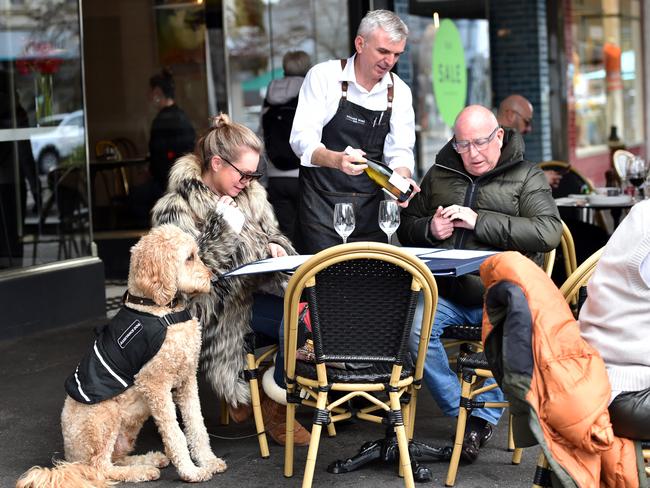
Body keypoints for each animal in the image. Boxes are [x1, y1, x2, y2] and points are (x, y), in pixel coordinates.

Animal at [17, 225, 225, 488]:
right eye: (189, 257)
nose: (214, 279)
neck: (157, 308)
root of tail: (72, 461)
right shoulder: (155, 384)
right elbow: (175, 433)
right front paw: (191, 472)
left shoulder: (186, 380)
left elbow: (197, 425)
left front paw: (208, 461)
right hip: (105, 415)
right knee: (101, 468)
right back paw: (140, 472)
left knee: (114, 459)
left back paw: (149, 460)